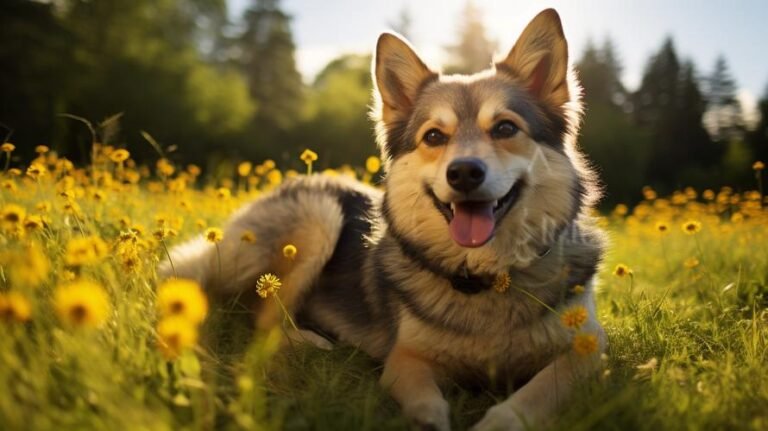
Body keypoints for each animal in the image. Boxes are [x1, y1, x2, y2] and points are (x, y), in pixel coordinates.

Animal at [162, 8, 608, 430]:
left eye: (504, 128)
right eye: (433, 137)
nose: (464, 173)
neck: (486, 277)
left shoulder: (588, 347)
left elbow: (538, 392)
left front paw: (501, 421)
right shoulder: (406, 358)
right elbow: (424, 398)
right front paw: (429, 421)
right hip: (318, 218)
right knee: (264, 321)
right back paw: (312, 341)